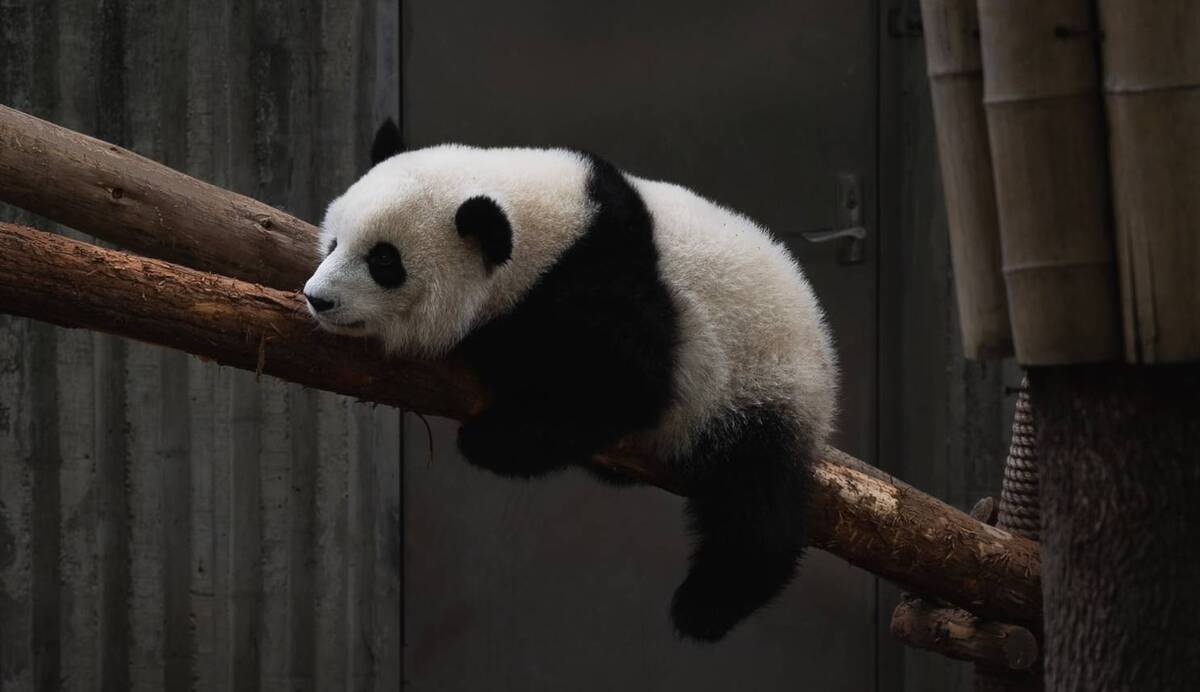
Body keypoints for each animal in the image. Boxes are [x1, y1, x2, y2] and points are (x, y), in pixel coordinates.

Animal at [303, 124, 838, 642]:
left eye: (384, 261)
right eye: (334, 242)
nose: (317, 298)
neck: (552, 227)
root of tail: (824, 359)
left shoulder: (605, 282)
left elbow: (626, 386)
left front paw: (490, 432)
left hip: (761, 384)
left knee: (754, 502)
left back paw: (707, 605)